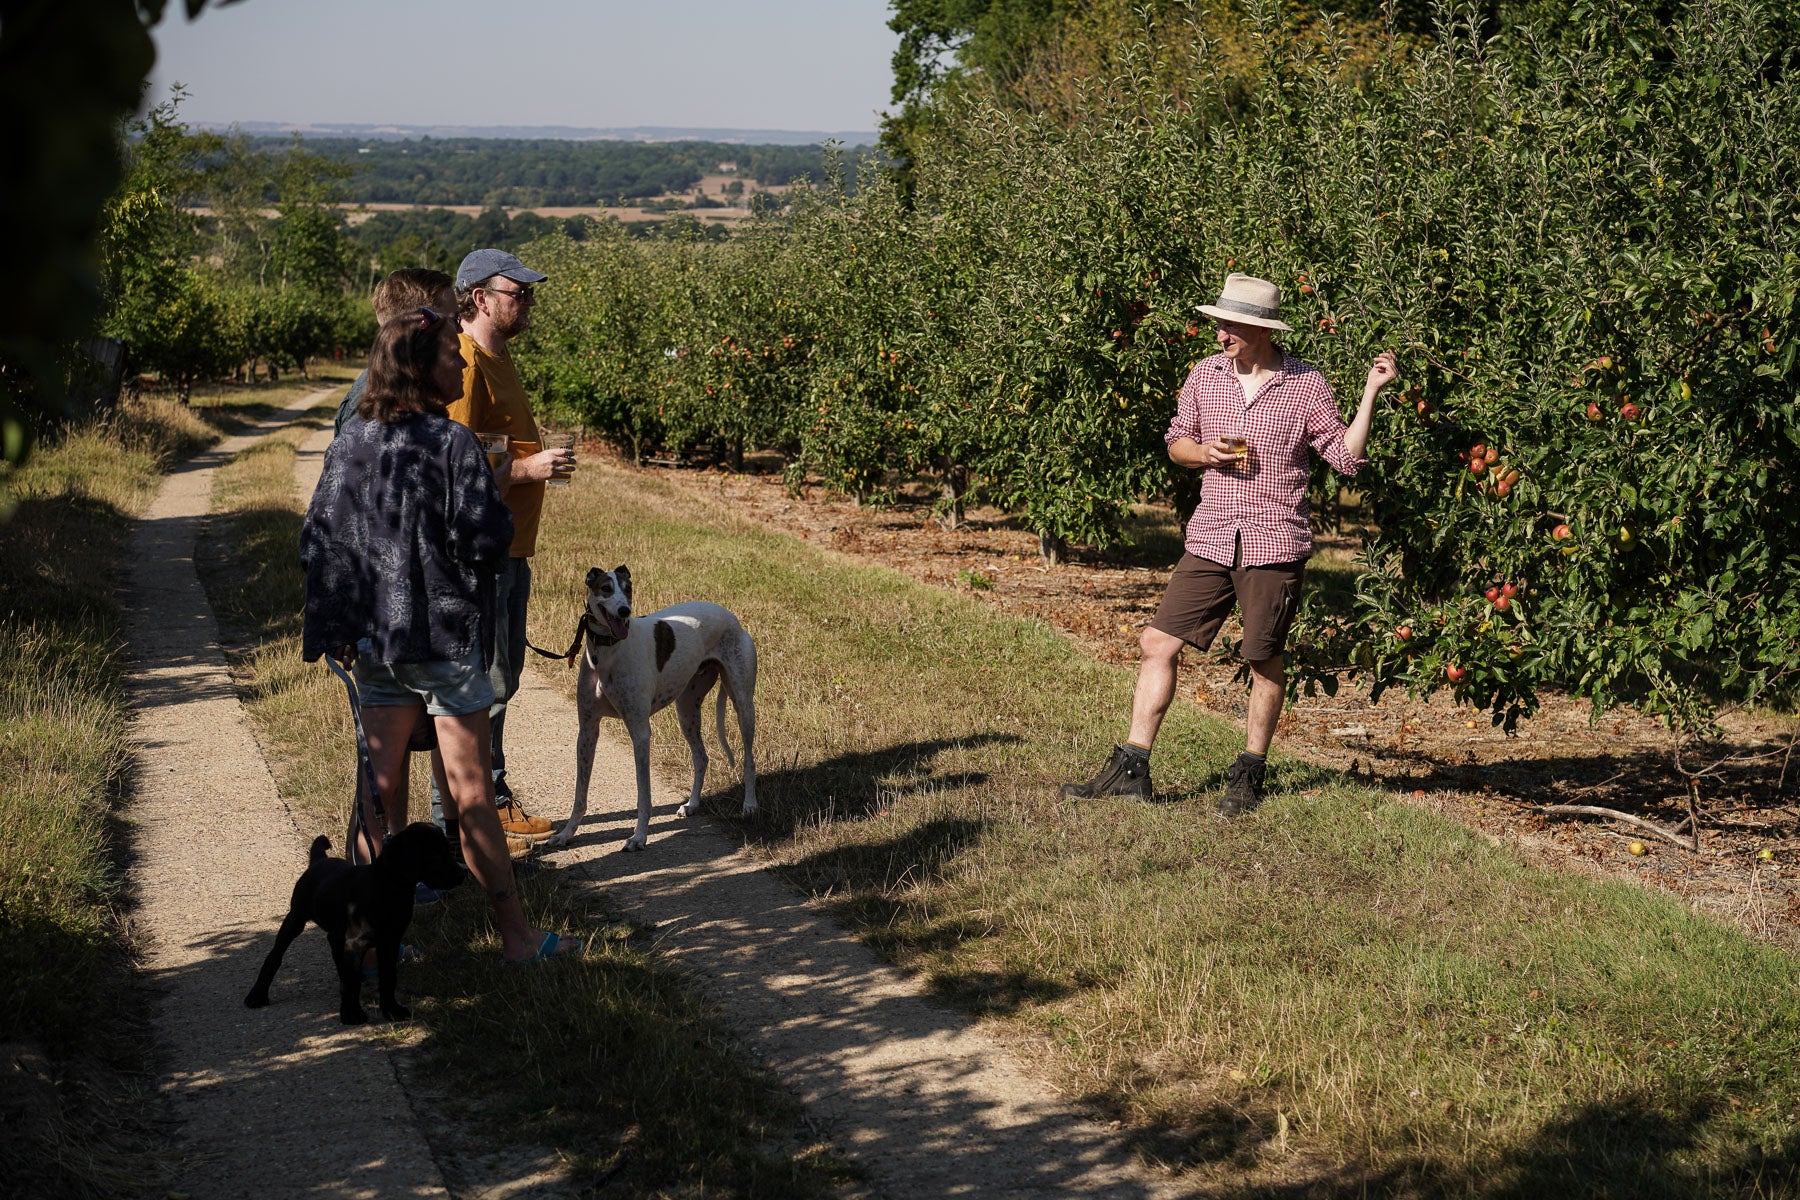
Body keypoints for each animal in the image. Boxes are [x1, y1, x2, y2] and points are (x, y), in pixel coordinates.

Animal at [244, 827, 464, 1036]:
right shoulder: (354, 944)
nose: (462, 874)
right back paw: (257, 995)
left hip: (334, 936)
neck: (388, 888)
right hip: (295, 919)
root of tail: (318, 861)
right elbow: (352, 980)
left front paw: (391, 1009)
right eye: (435, 854)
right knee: (274, 957)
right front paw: (352, 1013)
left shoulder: (390, 942)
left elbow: (388, 977)